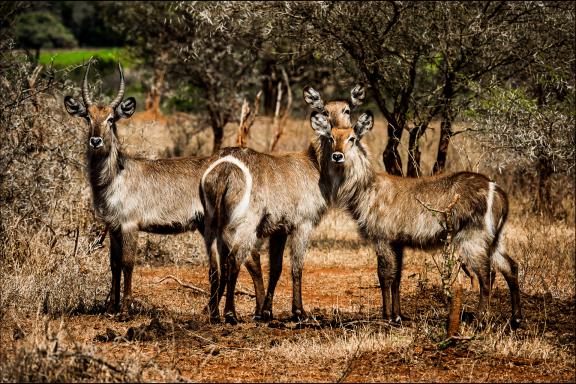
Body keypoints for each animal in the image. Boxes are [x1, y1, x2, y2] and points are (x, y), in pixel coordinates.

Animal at [66, 59, 266, 318]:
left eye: (111, 119)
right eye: (88, 118)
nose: (96, 141)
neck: (115, 176)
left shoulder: (129, 225)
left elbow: (127, 264)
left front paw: (125, 310)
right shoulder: (113, 226)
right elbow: (113, 264)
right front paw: (110, 308)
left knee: (247, 259)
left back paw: (252, 312)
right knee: (240, 260)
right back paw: (220, 310)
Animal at [200, 85, 366, 324]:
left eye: (347, 109)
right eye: (324, 111)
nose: (338, 129)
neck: (314, 165)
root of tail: (225, 168)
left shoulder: (278, 230)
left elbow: (276, 268)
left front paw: (266, 312)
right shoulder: (303, 224)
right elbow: (296, 267)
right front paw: (299, 312)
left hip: (211, 224)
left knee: (215, 267)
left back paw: (214, 313)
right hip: (243, 225)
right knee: (233, 261)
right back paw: (230, 314)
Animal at [308, 88, 524, 328]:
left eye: (352, 138)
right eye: (331, 138)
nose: (337, 156)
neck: (366, 187)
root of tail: (495, 188)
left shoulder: (382, 237)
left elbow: (384, 276)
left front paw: (387, 317)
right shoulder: (397, 242)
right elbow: (397, 277)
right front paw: (398, 316)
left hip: (472, 237)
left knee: (487, 275)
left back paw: (479, 319)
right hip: (496, 237)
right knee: (511, 267)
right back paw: (515, 318)